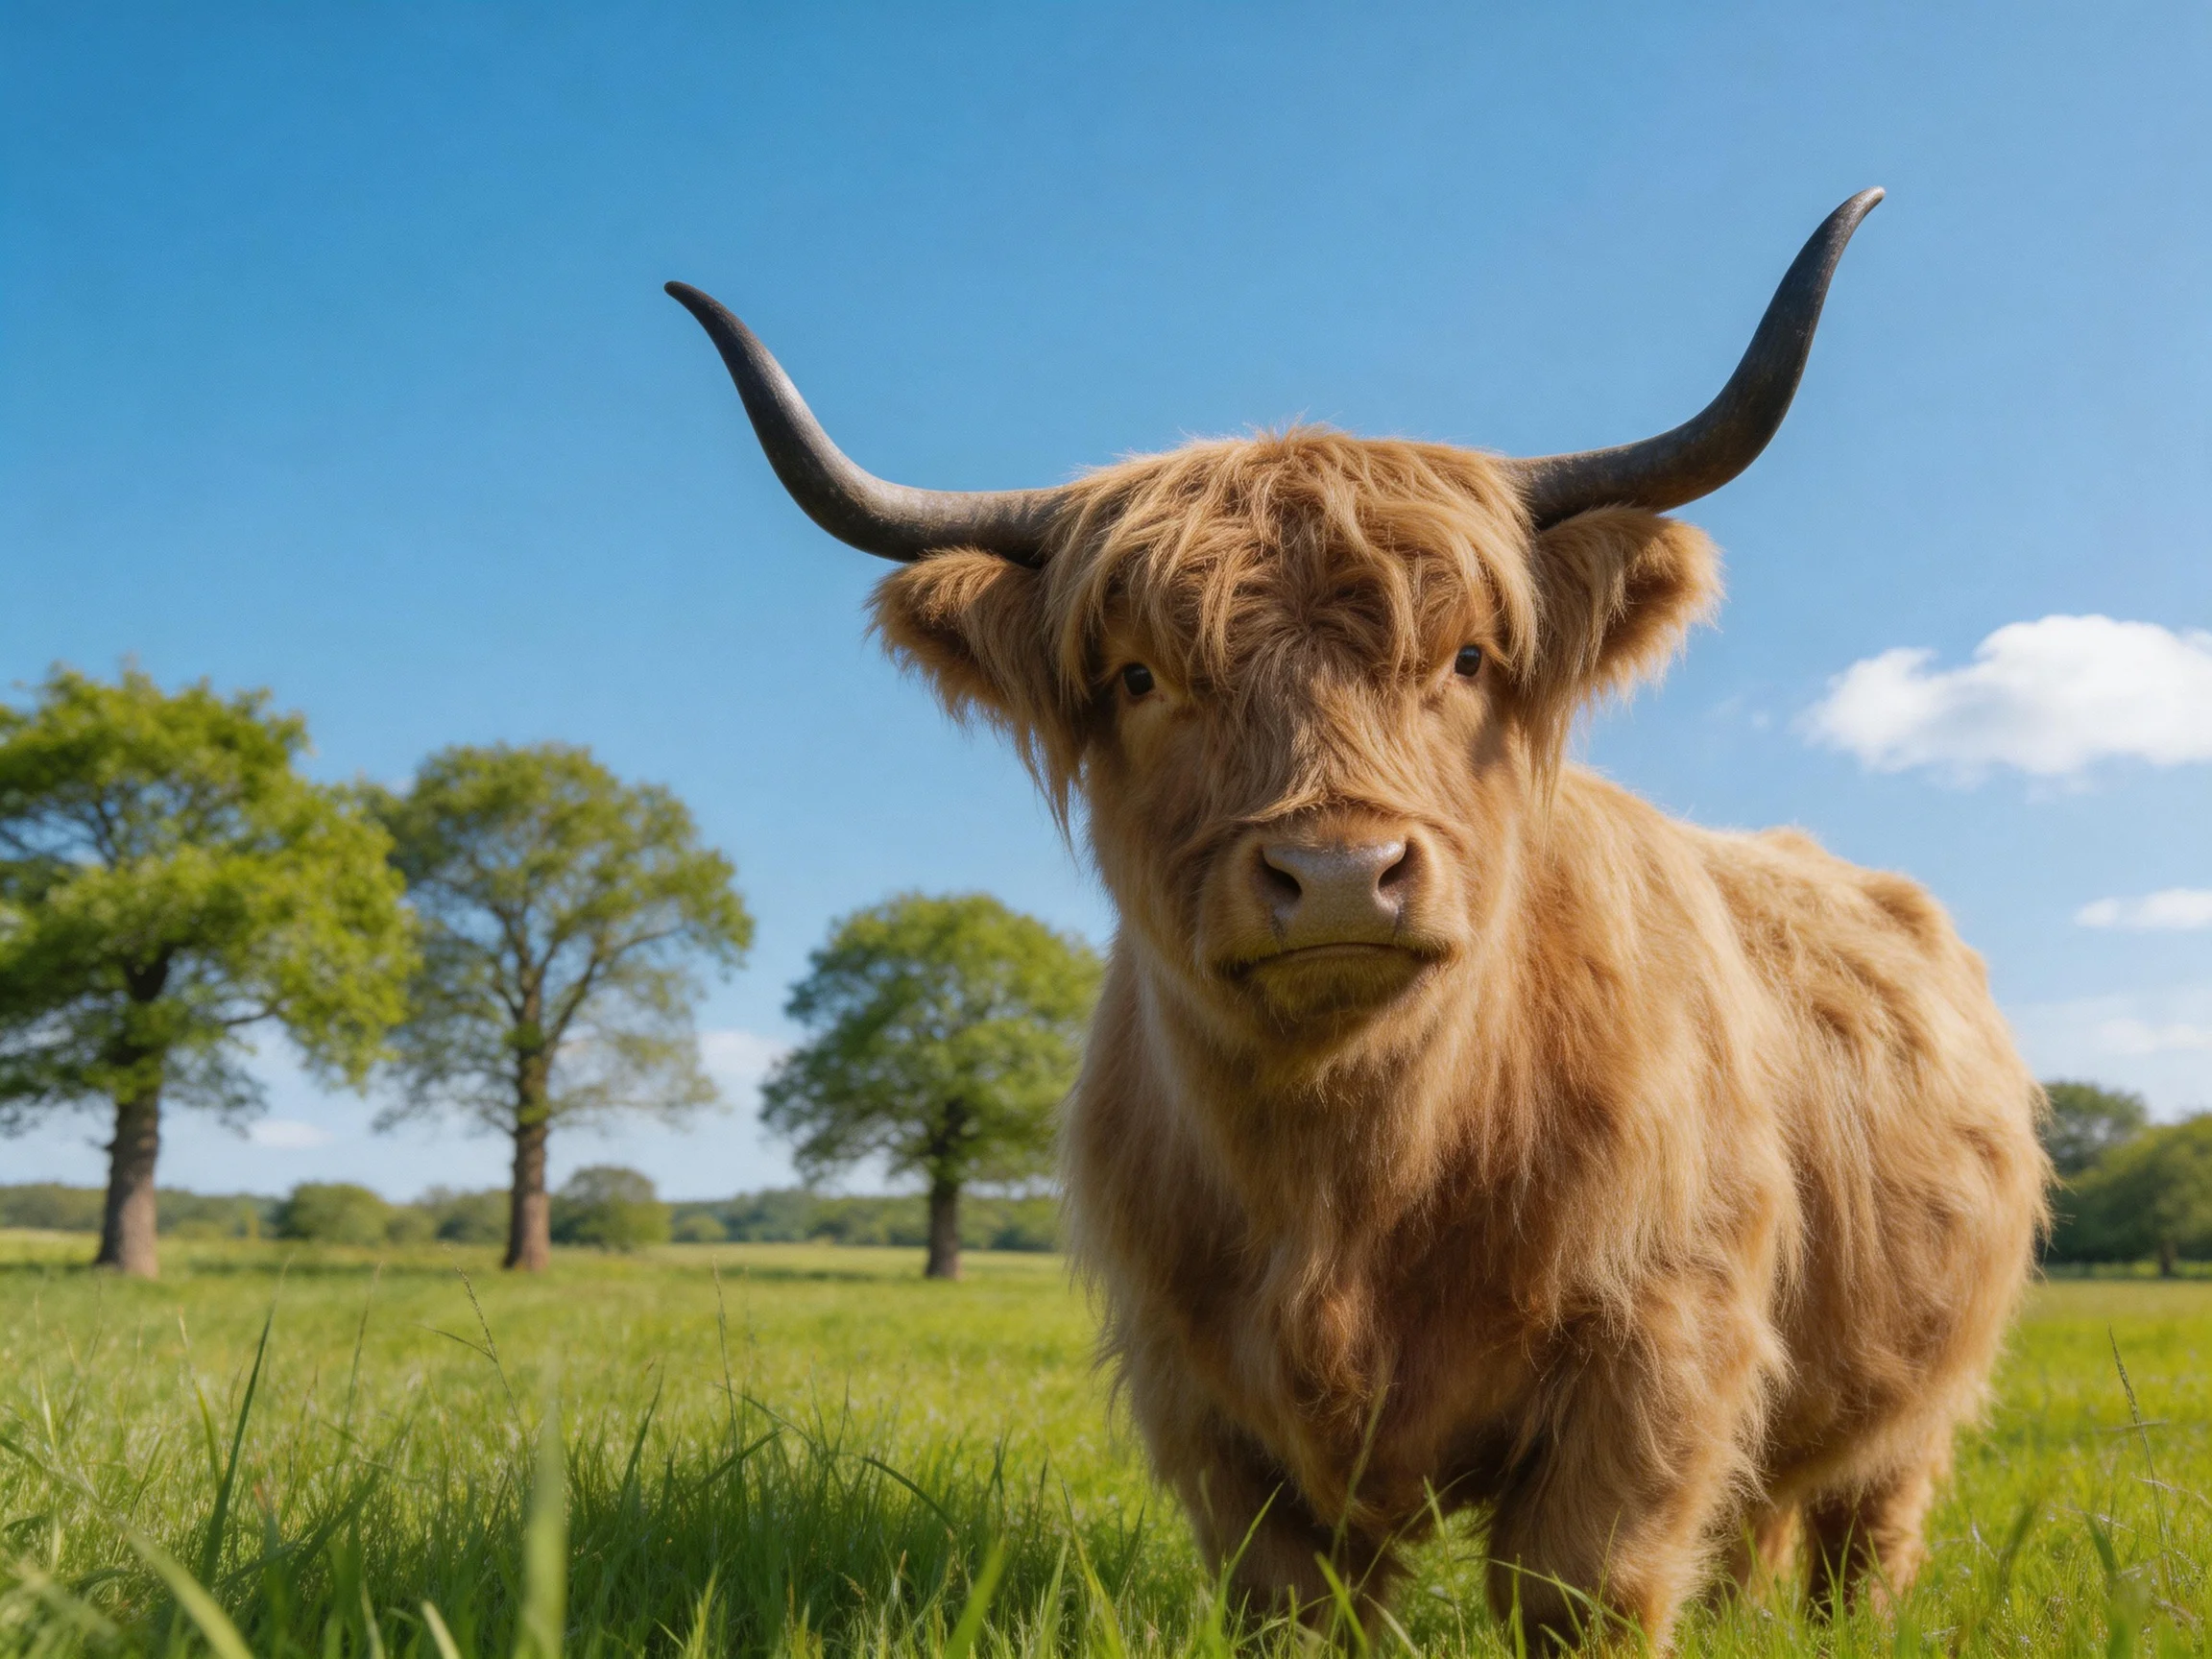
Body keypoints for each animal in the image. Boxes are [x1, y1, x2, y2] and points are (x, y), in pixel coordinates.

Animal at [668, 189, 2050, 1648]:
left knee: (1860, 1529)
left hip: (1917, 1398)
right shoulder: (1206, 1397)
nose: (1337, 875)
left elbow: (1582, 1590)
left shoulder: (1658, 1352)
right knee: (1762, 1521)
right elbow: (1292, 1601)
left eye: (1468, 657)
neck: (1352, 1182)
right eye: (1142, 677)